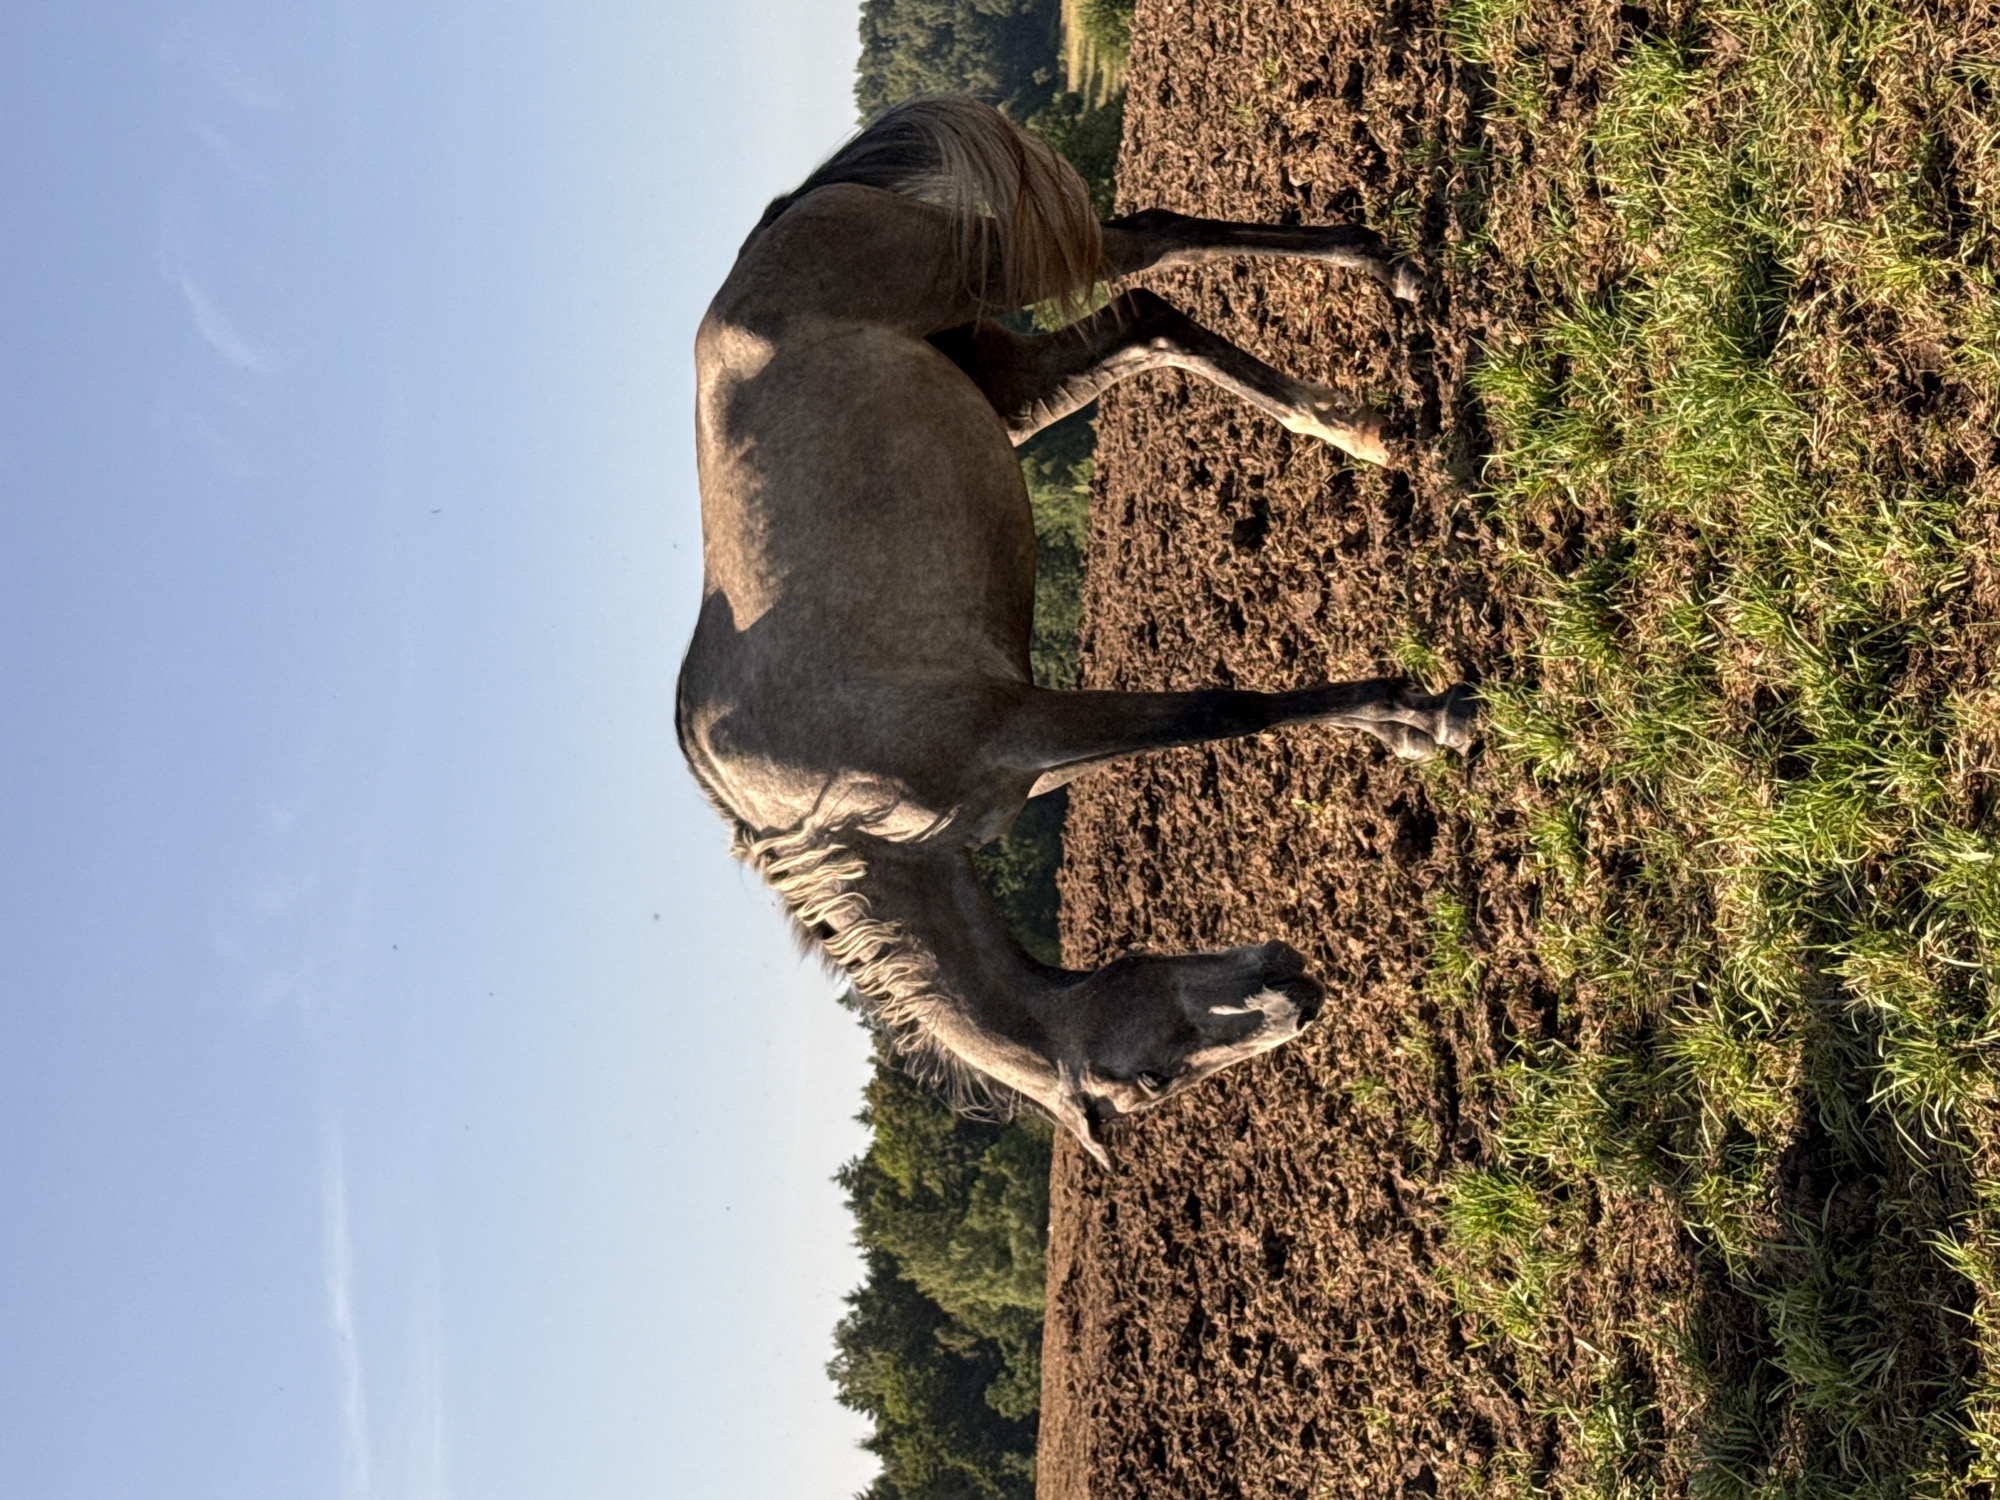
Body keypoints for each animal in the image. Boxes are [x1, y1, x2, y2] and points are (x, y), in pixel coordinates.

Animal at [677, 96, 1475, 1168]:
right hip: (1009, 379)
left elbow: (1220, 707)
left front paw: (1424, 716)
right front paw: (1407, 719)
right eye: (1150, 1084)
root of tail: (775, 226)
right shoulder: (1037, 761)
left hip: (992, 269)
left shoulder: (1027, 722)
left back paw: (1383, 274)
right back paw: (1363, 414)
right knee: (1146, 320)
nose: (1296, 990)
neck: (840, 816)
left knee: (1146, 242)